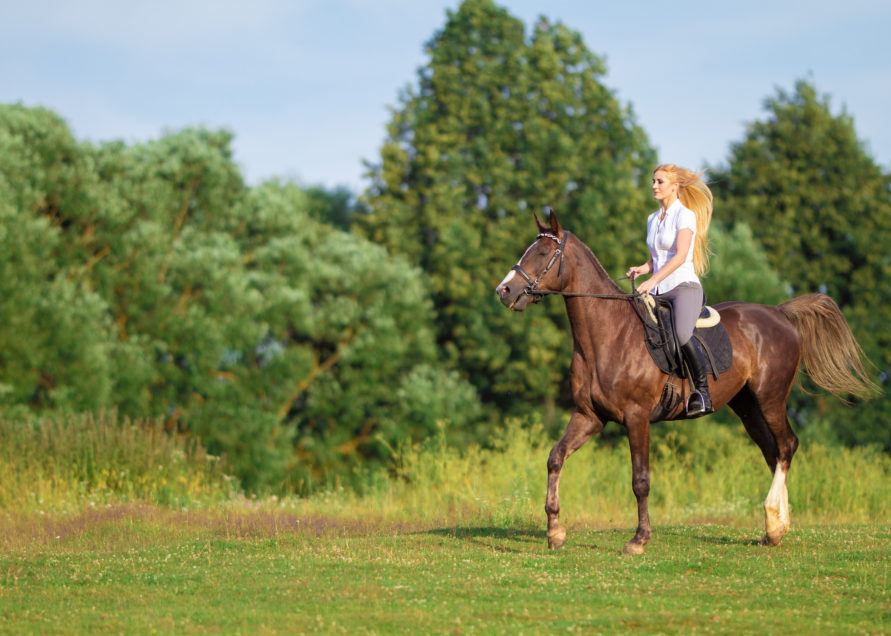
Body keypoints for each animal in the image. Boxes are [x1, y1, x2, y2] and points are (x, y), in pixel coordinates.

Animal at [498, 211, 880, 556]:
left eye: (543, 253)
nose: (504, 291)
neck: (608, 334)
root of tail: (780, 313)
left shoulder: (636, 417)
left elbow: (640, 480)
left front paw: (639, 540)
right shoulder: (590, 416)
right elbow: (555, 458)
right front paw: (555, 532)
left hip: (770, 398)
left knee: (786, 446)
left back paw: (774, 523)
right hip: (747, 407)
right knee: (772, 452)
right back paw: (775, 530)